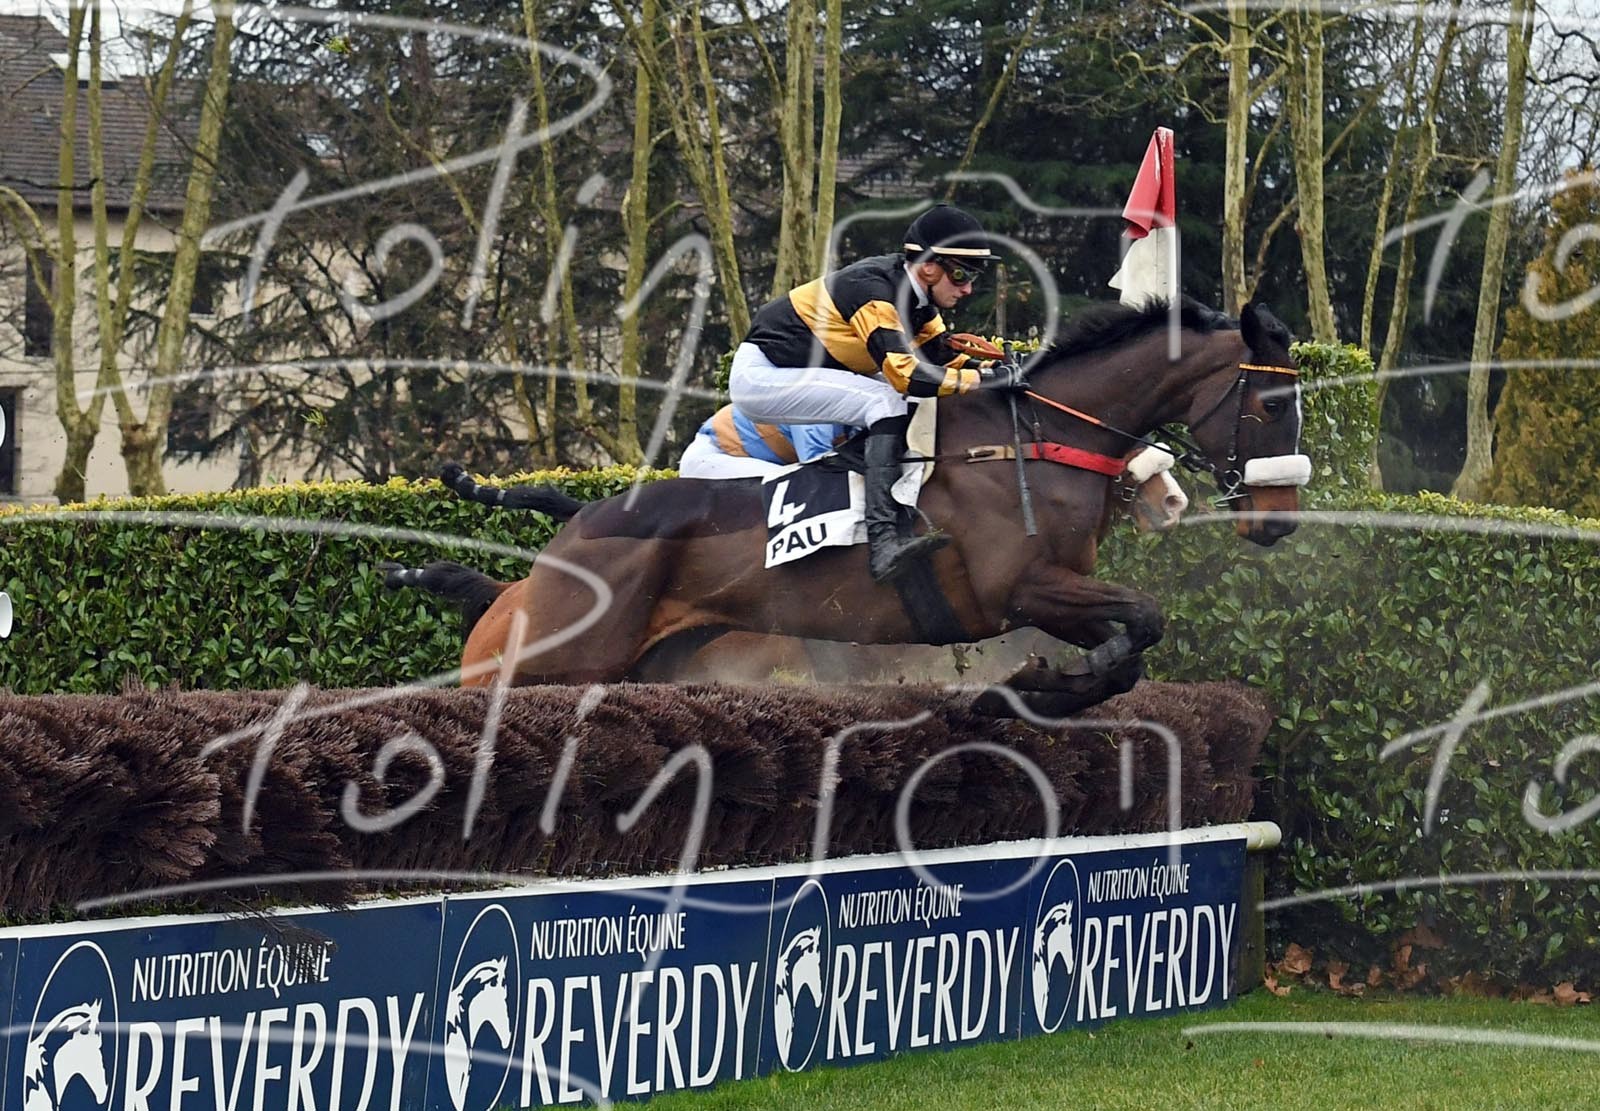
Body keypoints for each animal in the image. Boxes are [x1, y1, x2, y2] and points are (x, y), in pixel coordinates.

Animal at [393, 299, 1303, 714]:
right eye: (1271, 405)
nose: (1280, 519)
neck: (1033, 439)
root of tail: (572, 529)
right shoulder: (1017, 587)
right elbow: (1140, 622)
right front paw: (1030, 683)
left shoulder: (1050, 592)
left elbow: (1134, 648)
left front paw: (1042, 684)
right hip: (550, 660)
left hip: (649, 662)